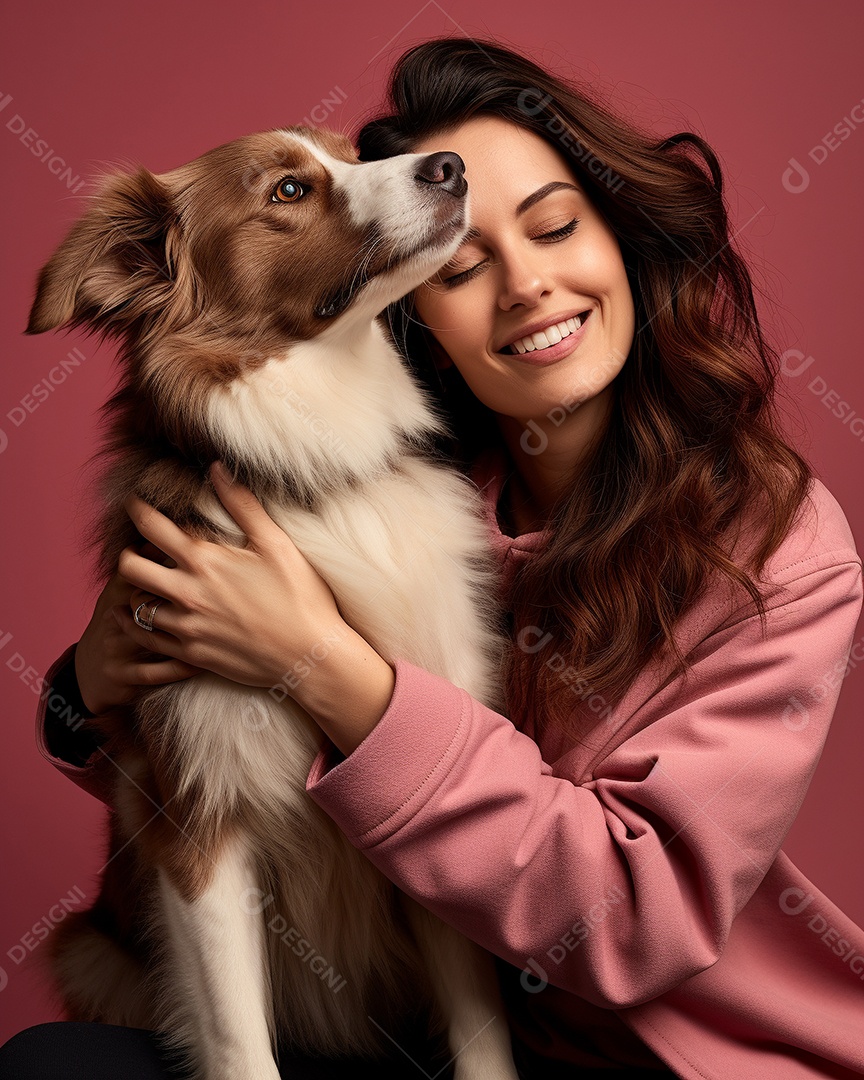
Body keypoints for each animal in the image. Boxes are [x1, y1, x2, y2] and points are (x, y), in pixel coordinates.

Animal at [28, 126, 520, 1080]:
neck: (320, 474)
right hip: (89, 950)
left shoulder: (430, 823)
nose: (450, 166)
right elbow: (237, 1039)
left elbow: (482, 1029)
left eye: (351, 153)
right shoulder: (198, 822)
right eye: (288, 191)